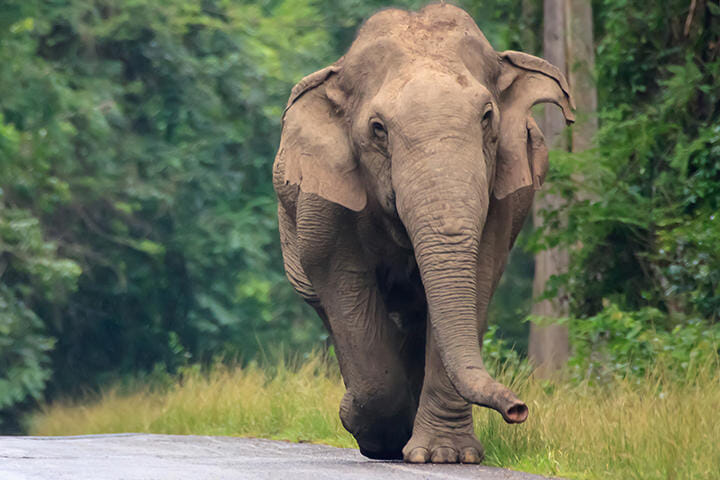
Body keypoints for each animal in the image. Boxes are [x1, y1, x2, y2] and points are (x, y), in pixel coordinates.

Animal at [272, 1, 576, 464]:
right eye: (377, 129)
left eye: (487, 118)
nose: (518, 409)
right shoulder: (325, 198)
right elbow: (342, 279)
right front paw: (374, 434)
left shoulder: (503, 194)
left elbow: (479, 275)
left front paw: (444, 456)